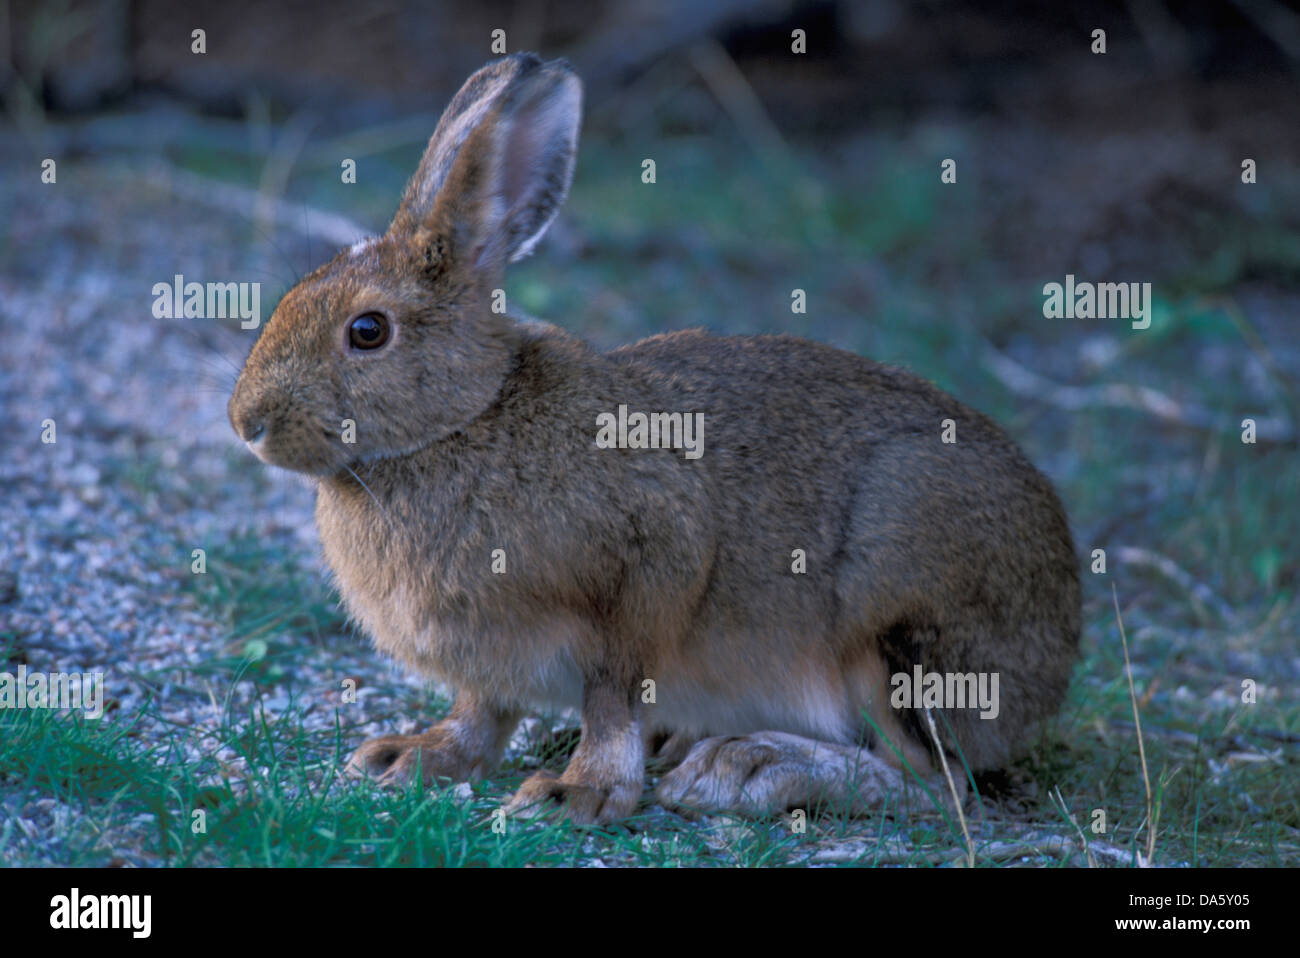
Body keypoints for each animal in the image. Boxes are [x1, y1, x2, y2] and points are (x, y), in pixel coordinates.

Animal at [228, 52, 1081, 824]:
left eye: (367, 331)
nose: (247, 423)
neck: (467, 419)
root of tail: (1058, 649)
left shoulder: (649, 567)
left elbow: (613, 698)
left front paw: (578, 795)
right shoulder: (486, 661)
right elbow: (482, 711)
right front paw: (414, 756)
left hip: (892, 613)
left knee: (935, 782)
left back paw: (748, 768)